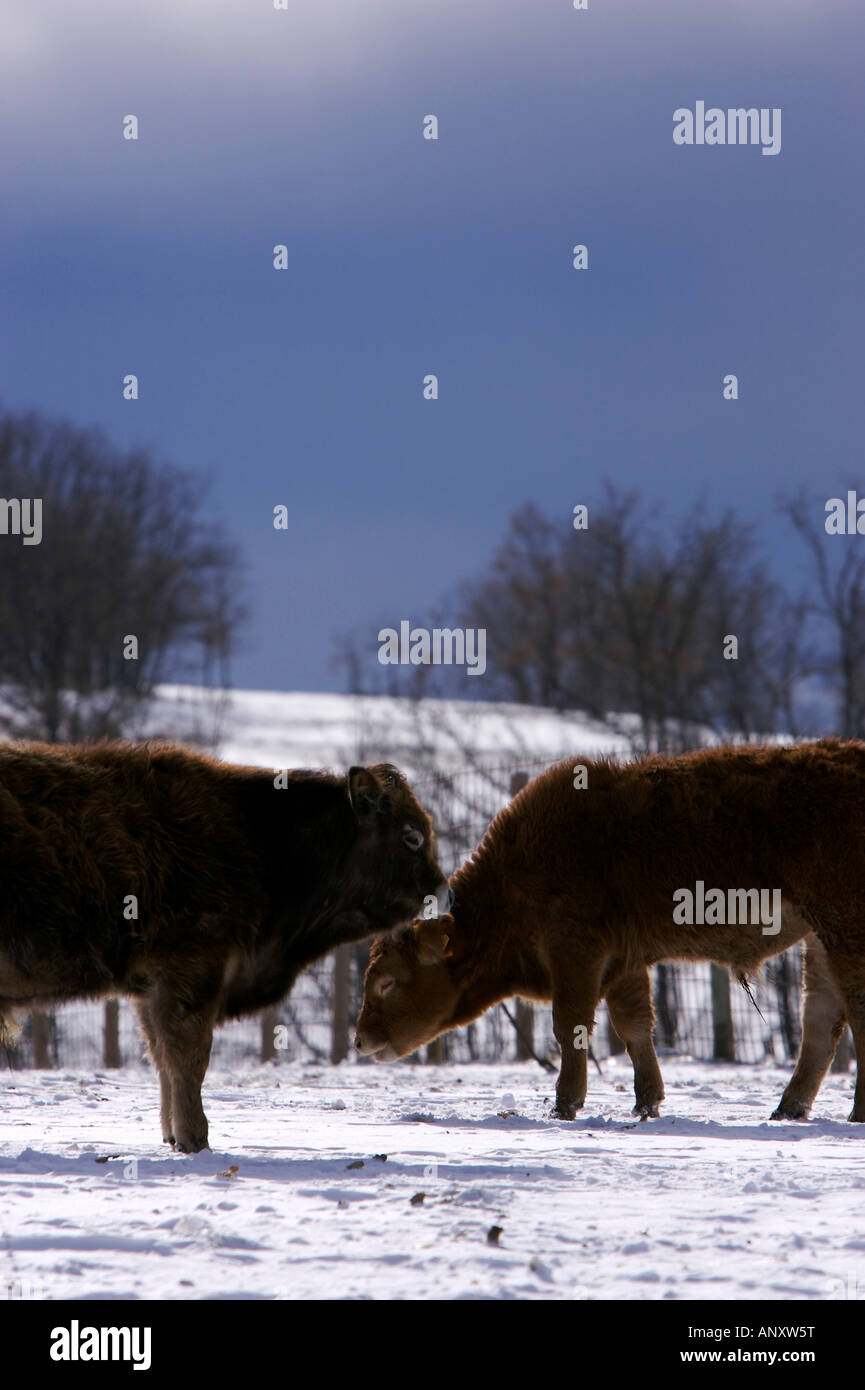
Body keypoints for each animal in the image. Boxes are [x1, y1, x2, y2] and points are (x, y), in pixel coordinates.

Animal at [0, 739, 447, 1150]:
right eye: (411, 836)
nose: (443, 891)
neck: (260, 842)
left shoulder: (153, 988)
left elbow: (162, 1058)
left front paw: (173, 1135)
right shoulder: (191, 971)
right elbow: (187, 1058)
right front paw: (195, 1138)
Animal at [358, 739, 865, 1117]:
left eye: (386, 982)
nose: (362, 1041)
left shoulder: (576, 952)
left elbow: (571, 1025)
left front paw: (565, 1104)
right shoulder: (625, 960)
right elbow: (634, 1026)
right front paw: (647, 1103)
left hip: (844, 930)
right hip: (820, 939)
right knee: (821, 1020)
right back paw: (788, 1108)